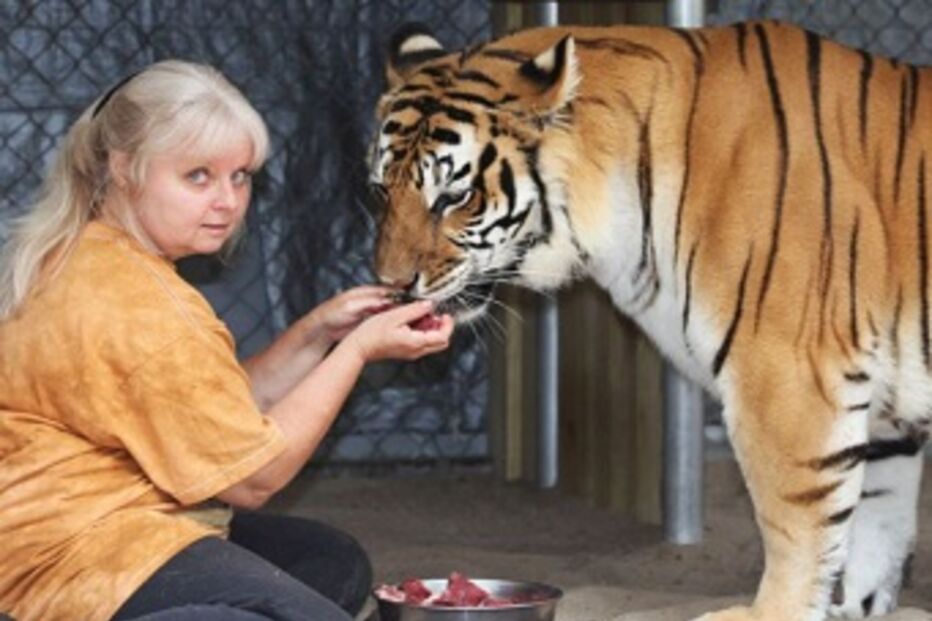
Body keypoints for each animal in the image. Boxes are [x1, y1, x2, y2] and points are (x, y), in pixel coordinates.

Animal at [366, 19, 931, 621]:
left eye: (456, 196)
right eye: (380, 190)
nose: (392, 284)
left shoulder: (789, 380)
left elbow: (796, 525)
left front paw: (770, 611)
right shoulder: (880, 413)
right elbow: (877, 526)